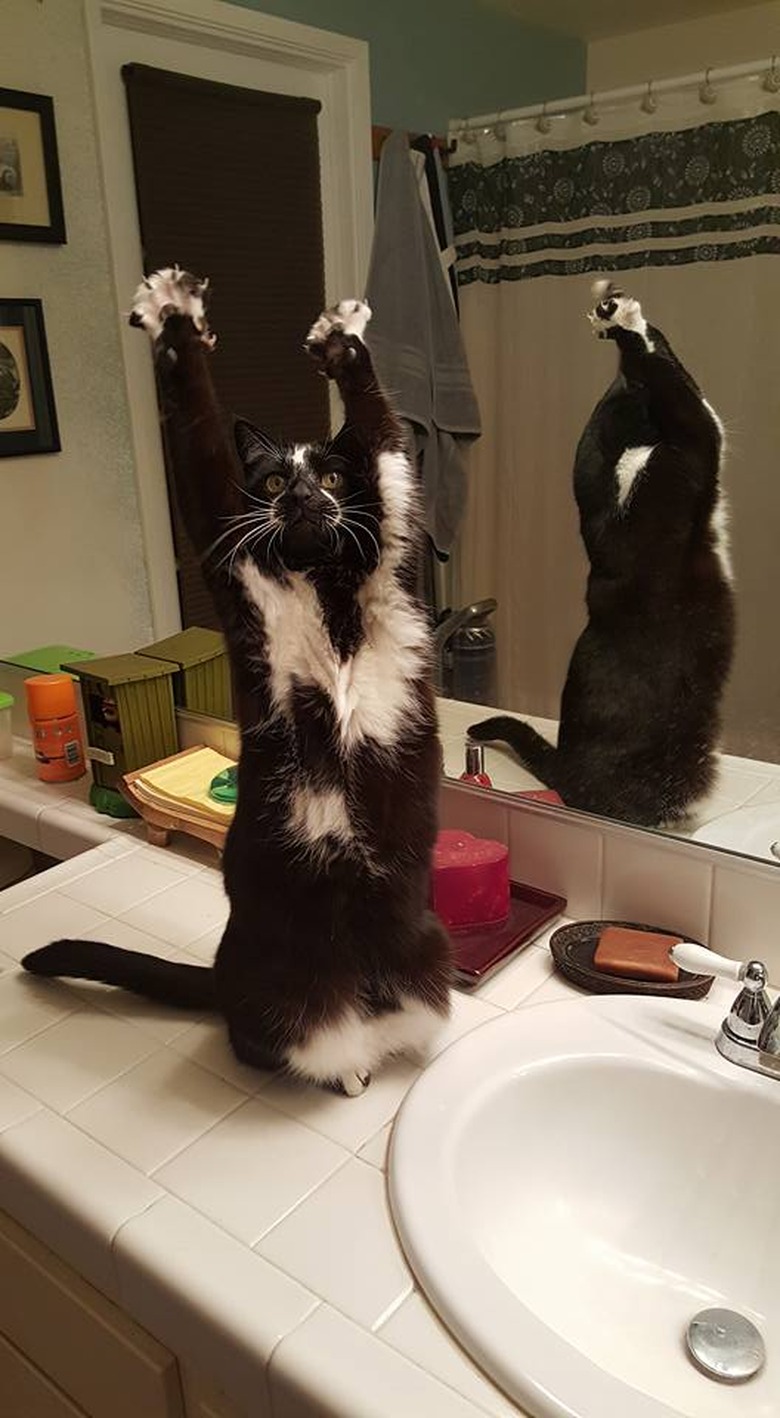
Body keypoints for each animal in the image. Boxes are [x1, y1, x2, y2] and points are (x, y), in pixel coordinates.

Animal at [24, 268, 453, 1094]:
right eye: (275, 476)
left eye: (330, 475)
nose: (302, 497)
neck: (322, 582)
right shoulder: (225, 543)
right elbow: (196, 431)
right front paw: (175, 314)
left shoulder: (393, 552)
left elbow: (386, 441)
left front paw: (341, 339)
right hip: (278, 993)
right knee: (274, 1042)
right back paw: (345, 1072)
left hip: (430, 947)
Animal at [470, 279, 737, 828]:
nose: (617, 382)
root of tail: (564, 768)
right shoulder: (692, 443)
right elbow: (679, 387)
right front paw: (626, 325)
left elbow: (678, 381)